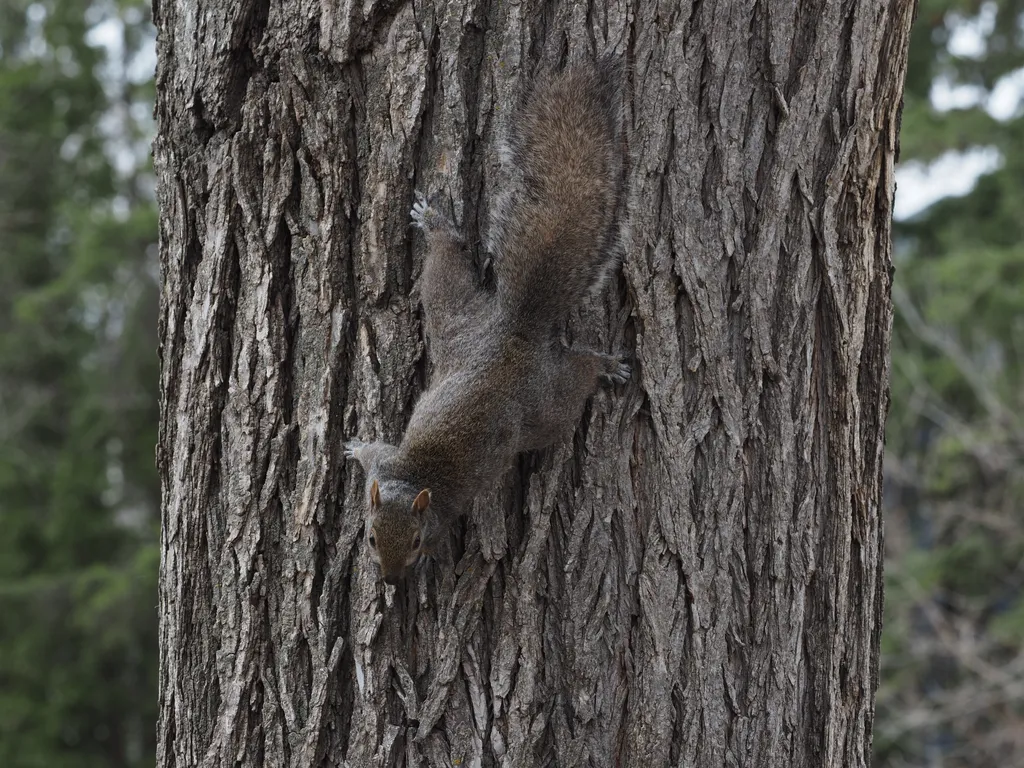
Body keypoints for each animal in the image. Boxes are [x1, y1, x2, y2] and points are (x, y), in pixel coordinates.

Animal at [345, 55, 629, 585]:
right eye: (371, 538)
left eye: (416, 542)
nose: (391, 579)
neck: (411, 479)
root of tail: (512, 333)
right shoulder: (384, 468)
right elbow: (372, 454)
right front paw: (354, 448)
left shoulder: (423, 496)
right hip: (457, 319)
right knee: (448, 266)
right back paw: (436, 225)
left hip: (545, 403)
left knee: (574, 380)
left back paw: (604, 366)